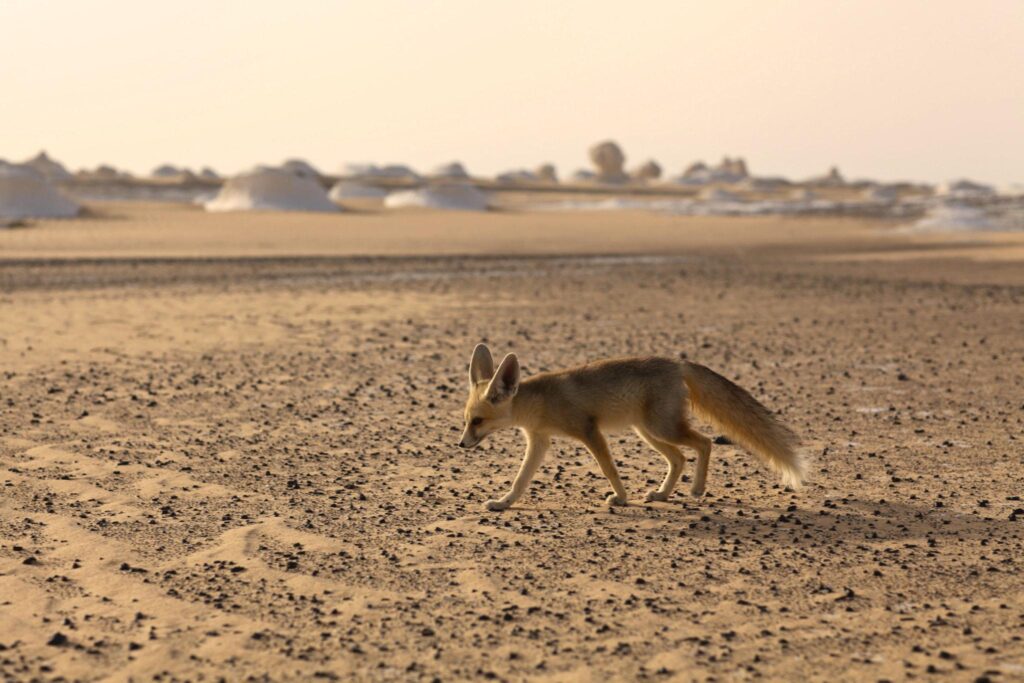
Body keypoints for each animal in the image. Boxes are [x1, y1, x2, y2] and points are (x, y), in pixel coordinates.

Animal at [459, 344, 803, 511]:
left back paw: (696, 489)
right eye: (466, 420)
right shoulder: (539, 440)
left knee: (703, 443)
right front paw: (503, 503)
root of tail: (676, 362)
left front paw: (621, 498)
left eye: (478, 421)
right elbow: (520, 480)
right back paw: (663, 494)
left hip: (661, 428)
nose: (461, 444)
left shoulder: (589, 430)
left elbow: (609, 468)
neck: (542, 403)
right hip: (648, 431)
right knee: (679, 458)